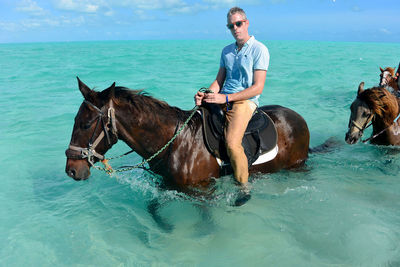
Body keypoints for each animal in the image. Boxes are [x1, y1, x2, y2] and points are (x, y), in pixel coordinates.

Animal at [65, 77, 310, 191]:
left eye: (86, 124)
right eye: (75, 121)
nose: (71, 170)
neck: (174, 142)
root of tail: (299, 118)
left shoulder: (202, 192)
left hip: (296, 165)